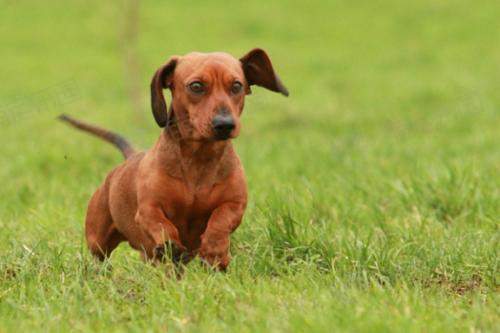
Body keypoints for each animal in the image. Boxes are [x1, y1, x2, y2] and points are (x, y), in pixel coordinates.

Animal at [61, 47, 290, 270]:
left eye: (236, 86)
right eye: (196, 86)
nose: (224, 124)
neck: (199, 159)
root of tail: (132, 155)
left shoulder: (235, 204)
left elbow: (220, 221)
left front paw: (215, 251)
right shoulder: (148, 210)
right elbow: (163, 226)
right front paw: (170, 246)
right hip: (98, 239)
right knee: (101, 255)